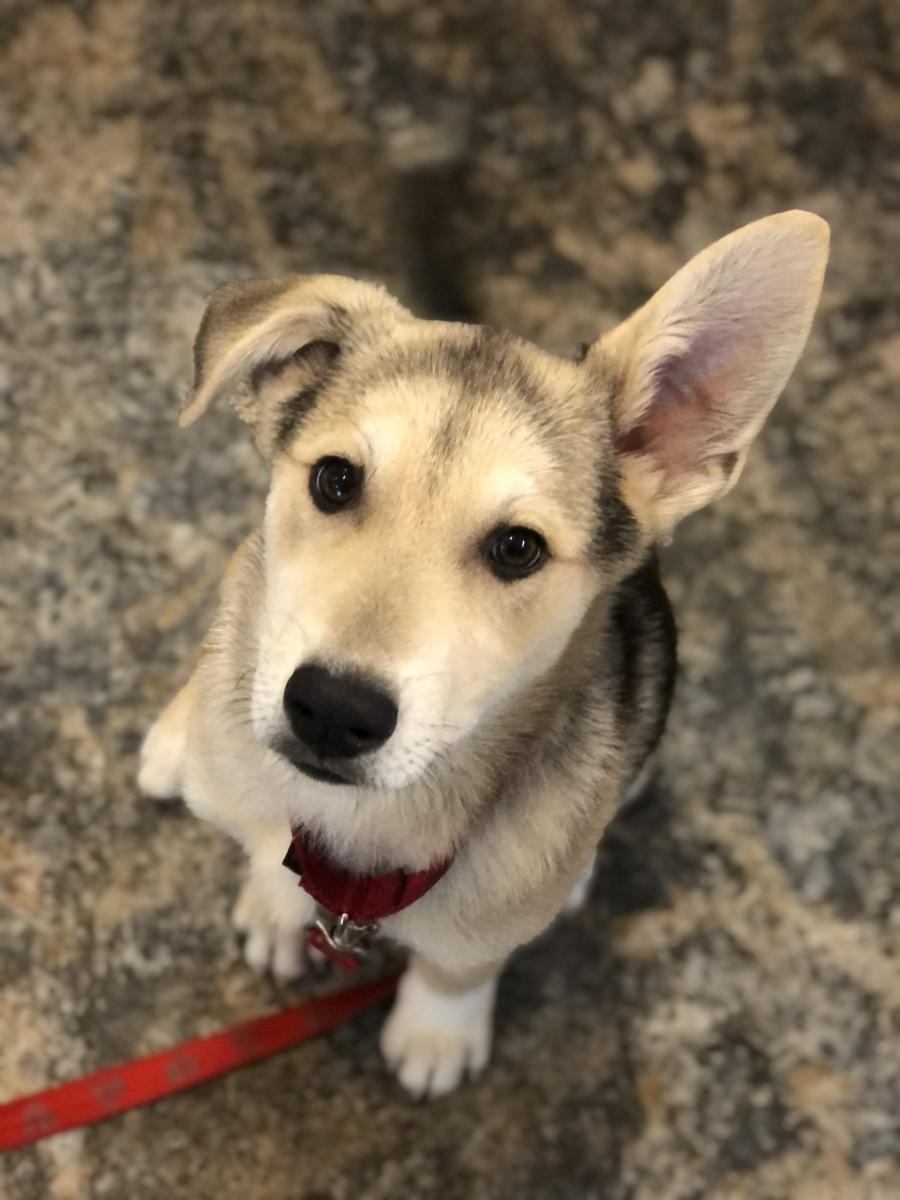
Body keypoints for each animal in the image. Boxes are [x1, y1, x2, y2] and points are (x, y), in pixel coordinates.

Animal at [139, 210, 829, 1098]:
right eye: (334, 480)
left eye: (517, 548)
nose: (332, 709)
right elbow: (266, 853)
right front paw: (273, 903)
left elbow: (462, 960)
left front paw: (436, 1030)